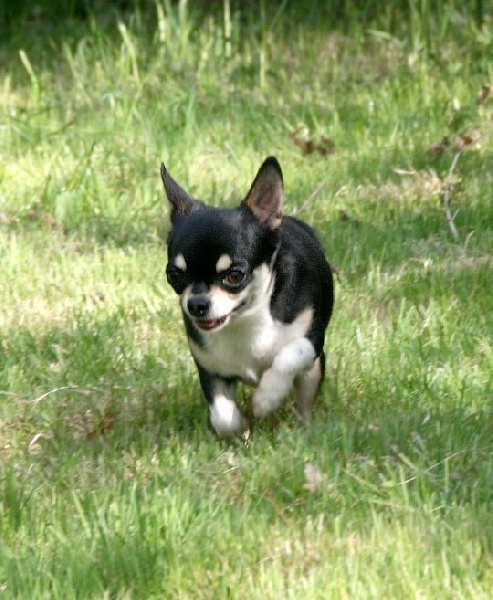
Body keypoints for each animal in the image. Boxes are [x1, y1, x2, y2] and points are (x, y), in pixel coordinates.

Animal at [161, 155, 334, 436]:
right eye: (174, 276)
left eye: (235, 276)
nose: (196, 304)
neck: (247, 319)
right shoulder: (210, 367)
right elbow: (223, 417)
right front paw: (240, 429)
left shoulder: (313, 340)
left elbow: (289, 355)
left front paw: (267, 398)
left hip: (314, 370)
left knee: (305, 399)